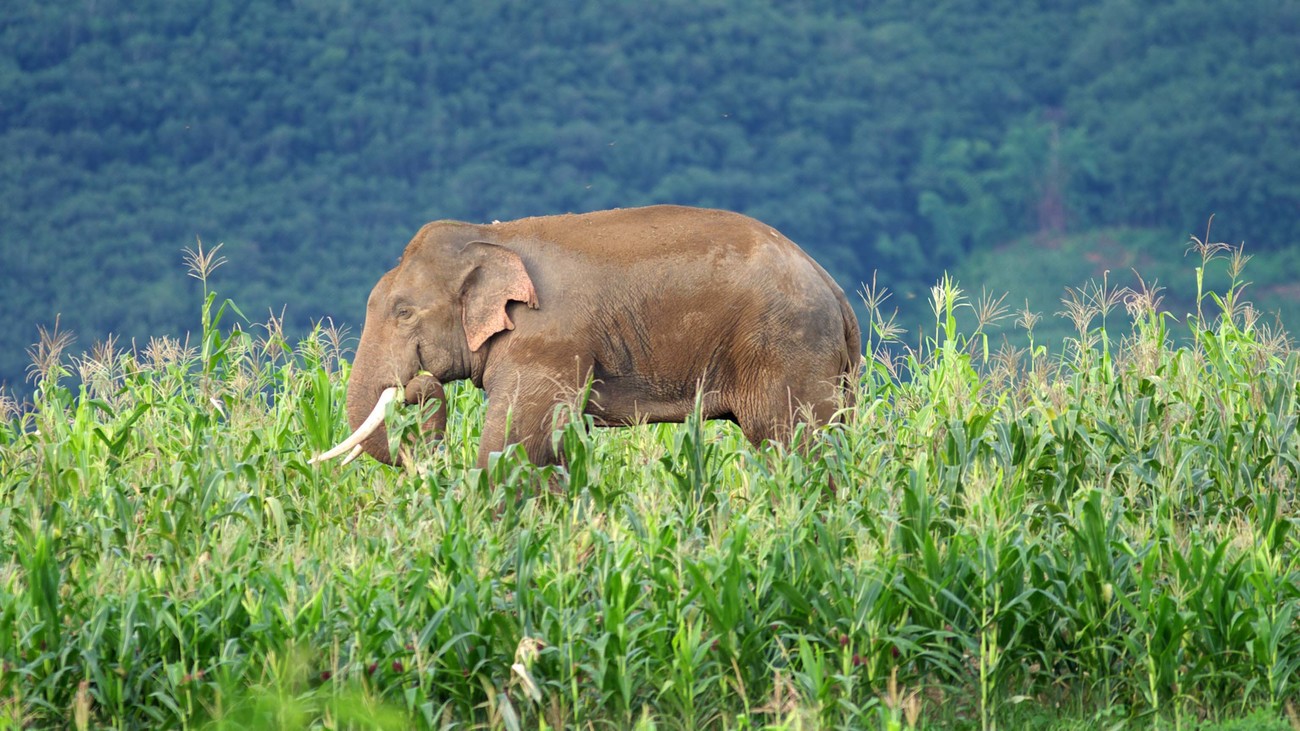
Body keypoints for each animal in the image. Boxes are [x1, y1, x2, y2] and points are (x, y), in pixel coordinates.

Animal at [312, 205, 863, 465]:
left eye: (404, 312)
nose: (415, 386)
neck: (492, 237)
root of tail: (836, 292)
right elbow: (550, 448)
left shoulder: (546, 342)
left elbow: (514, 443)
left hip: (786, 350)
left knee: (793, 445)